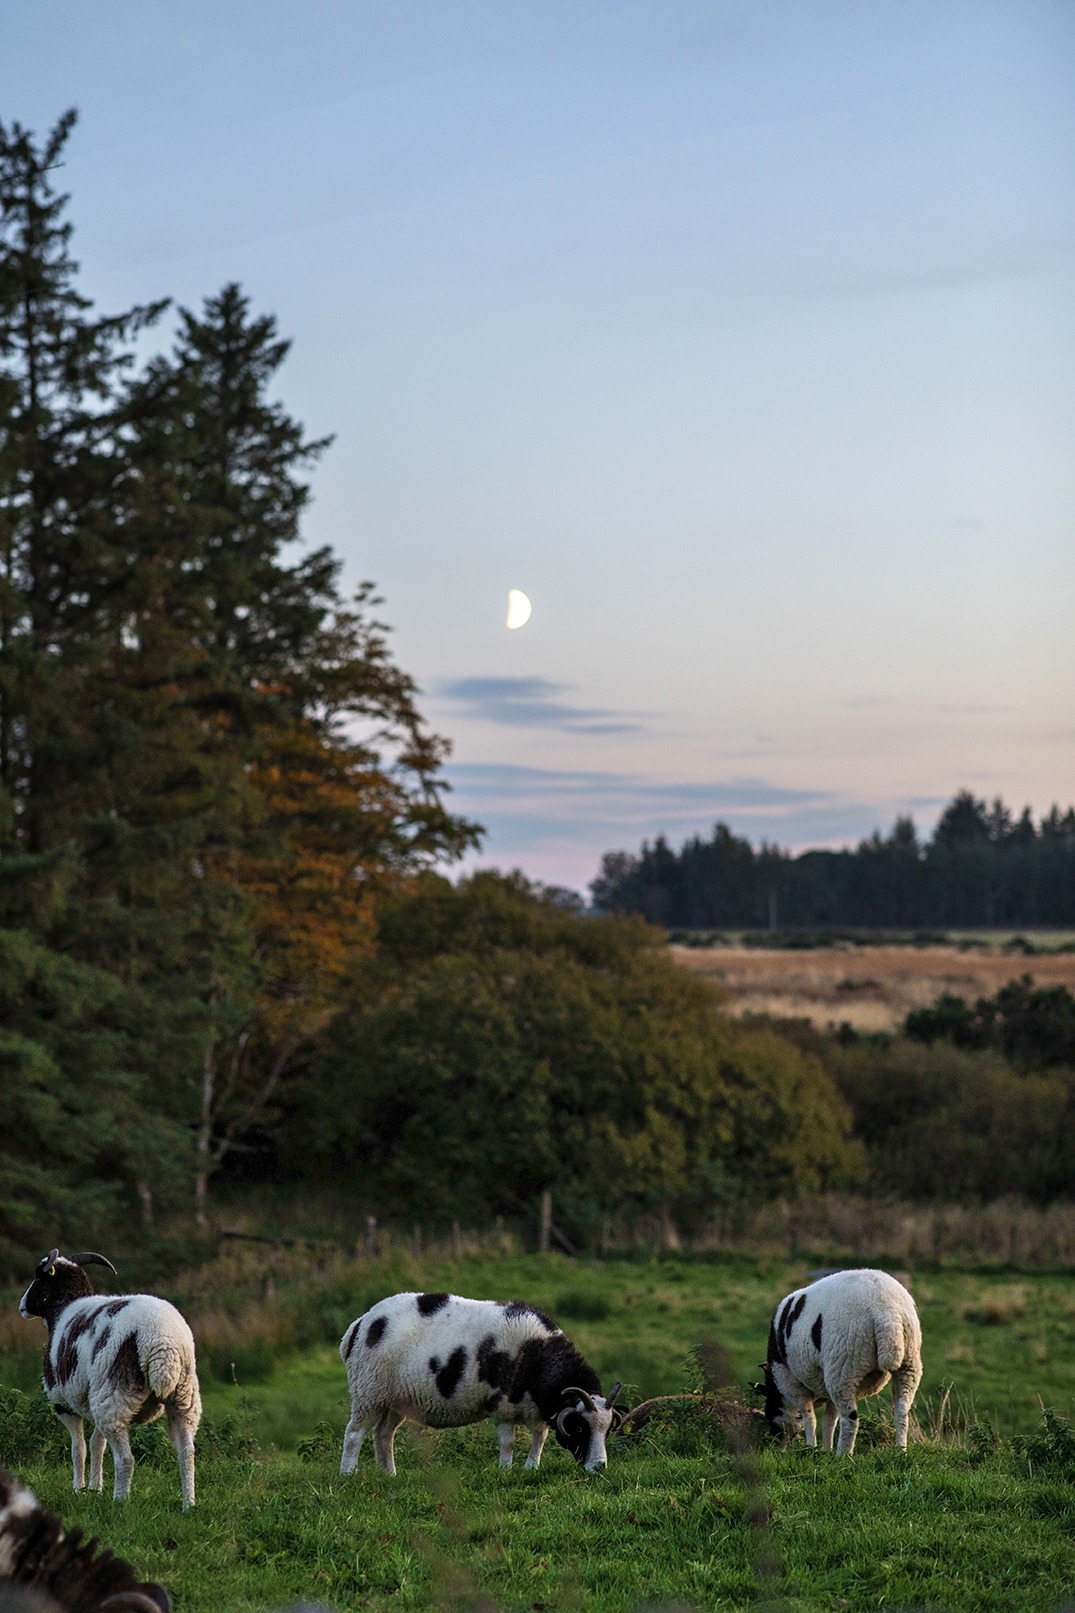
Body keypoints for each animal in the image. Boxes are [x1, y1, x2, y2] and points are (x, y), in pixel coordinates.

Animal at [19, 1249, 201, 1509]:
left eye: (39, 1275)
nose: (22, 1306)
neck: (63, 1308)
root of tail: (161, 1341)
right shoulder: (94, 1399)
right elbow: (97, 1444)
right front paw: (95, 1488)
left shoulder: (63, 1402)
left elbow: (79, 1448)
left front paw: (79, 1489)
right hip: (182, 1397)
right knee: (186, 1452)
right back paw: (188, 1504)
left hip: (115, 1395)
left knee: (126, 1458)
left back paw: (120, 1501)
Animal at [340, 1291, 623, 1475]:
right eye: (580, 1428)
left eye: (607, 1429)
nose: (599, 1467)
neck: (537, 1356)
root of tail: (360, 1324)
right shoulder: (503, 1407)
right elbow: (509, 1442)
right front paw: (505, 1470)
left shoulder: (538, 1411)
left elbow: (539, 1439)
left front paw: (531, 1467)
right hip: (369, 1390)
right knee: (355, 1433)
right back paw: (349, 1474)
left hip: (393, 1399)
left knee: (383, 1434)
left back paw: (389, 1475)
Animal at [759, 1268, 922, 1455]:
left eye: (770, 1409)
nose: (775, 1447)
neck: (780, 1391)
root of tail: (886, 1312)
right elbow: (829, 1420)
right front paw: (825, 1450)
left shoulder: (792, 1382)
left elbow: (810, 1418)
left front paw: (812, 1448)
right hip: (909, 1363)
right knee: (902, 1412)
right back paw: (901, 1450)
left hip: (843, 1368)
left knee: (850, 1419)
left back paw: (843, 1455)